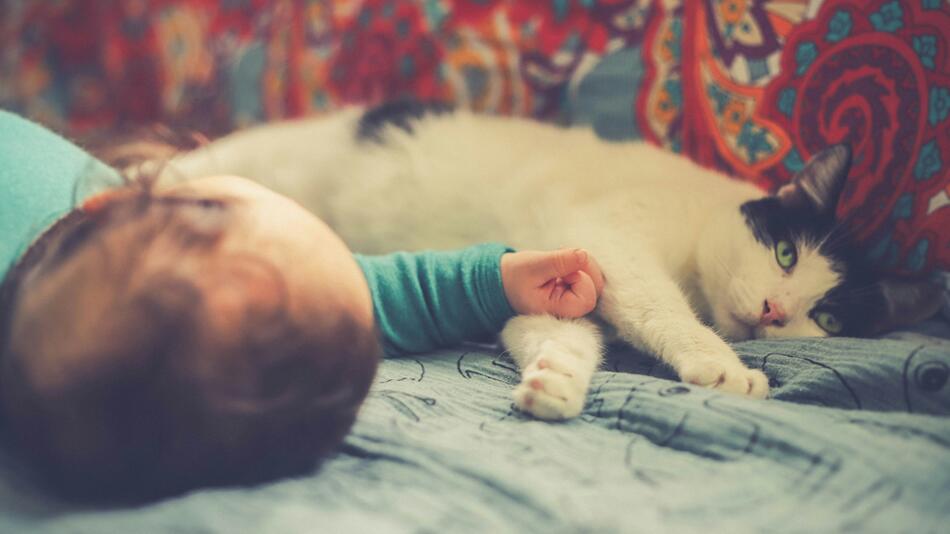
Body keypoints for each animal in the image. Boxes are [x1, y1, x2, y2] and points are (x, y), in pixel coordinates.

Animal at [165, 99, 944, 418]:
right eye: (784, 253)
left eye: (830, 320)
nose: (775, 310)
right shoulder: (612, 241)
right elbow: (663, 311)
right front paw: (722, 365)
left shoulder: (557, 283)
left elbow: (558, 334)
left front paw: (556, 383)